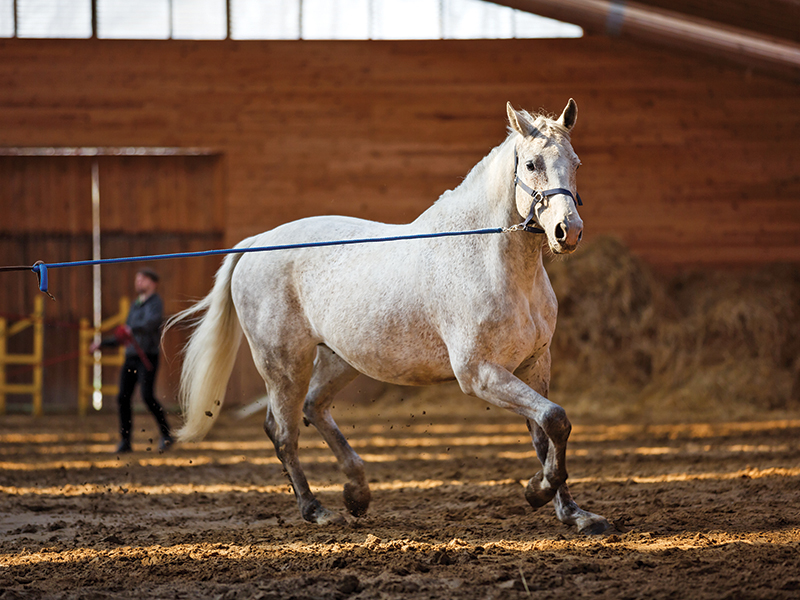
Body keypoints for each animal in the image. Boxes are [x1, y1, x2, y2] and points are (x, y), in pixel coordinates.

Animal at [168, 100, 610, 535]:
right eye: (532, 163)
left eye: (575, 162)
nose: (567, 231)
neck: (491, 260)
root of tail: (256, 243)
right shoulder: (479, 373)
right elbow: (554, 418)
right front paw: (538, 492)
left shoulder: (534, 364)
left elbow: (548, 432)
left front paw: (575, 514)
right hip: (283, 363)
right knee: (283, 431)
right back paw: (316, 510)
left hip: (339, 359)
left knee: (313, 408)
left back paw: (356, 492)